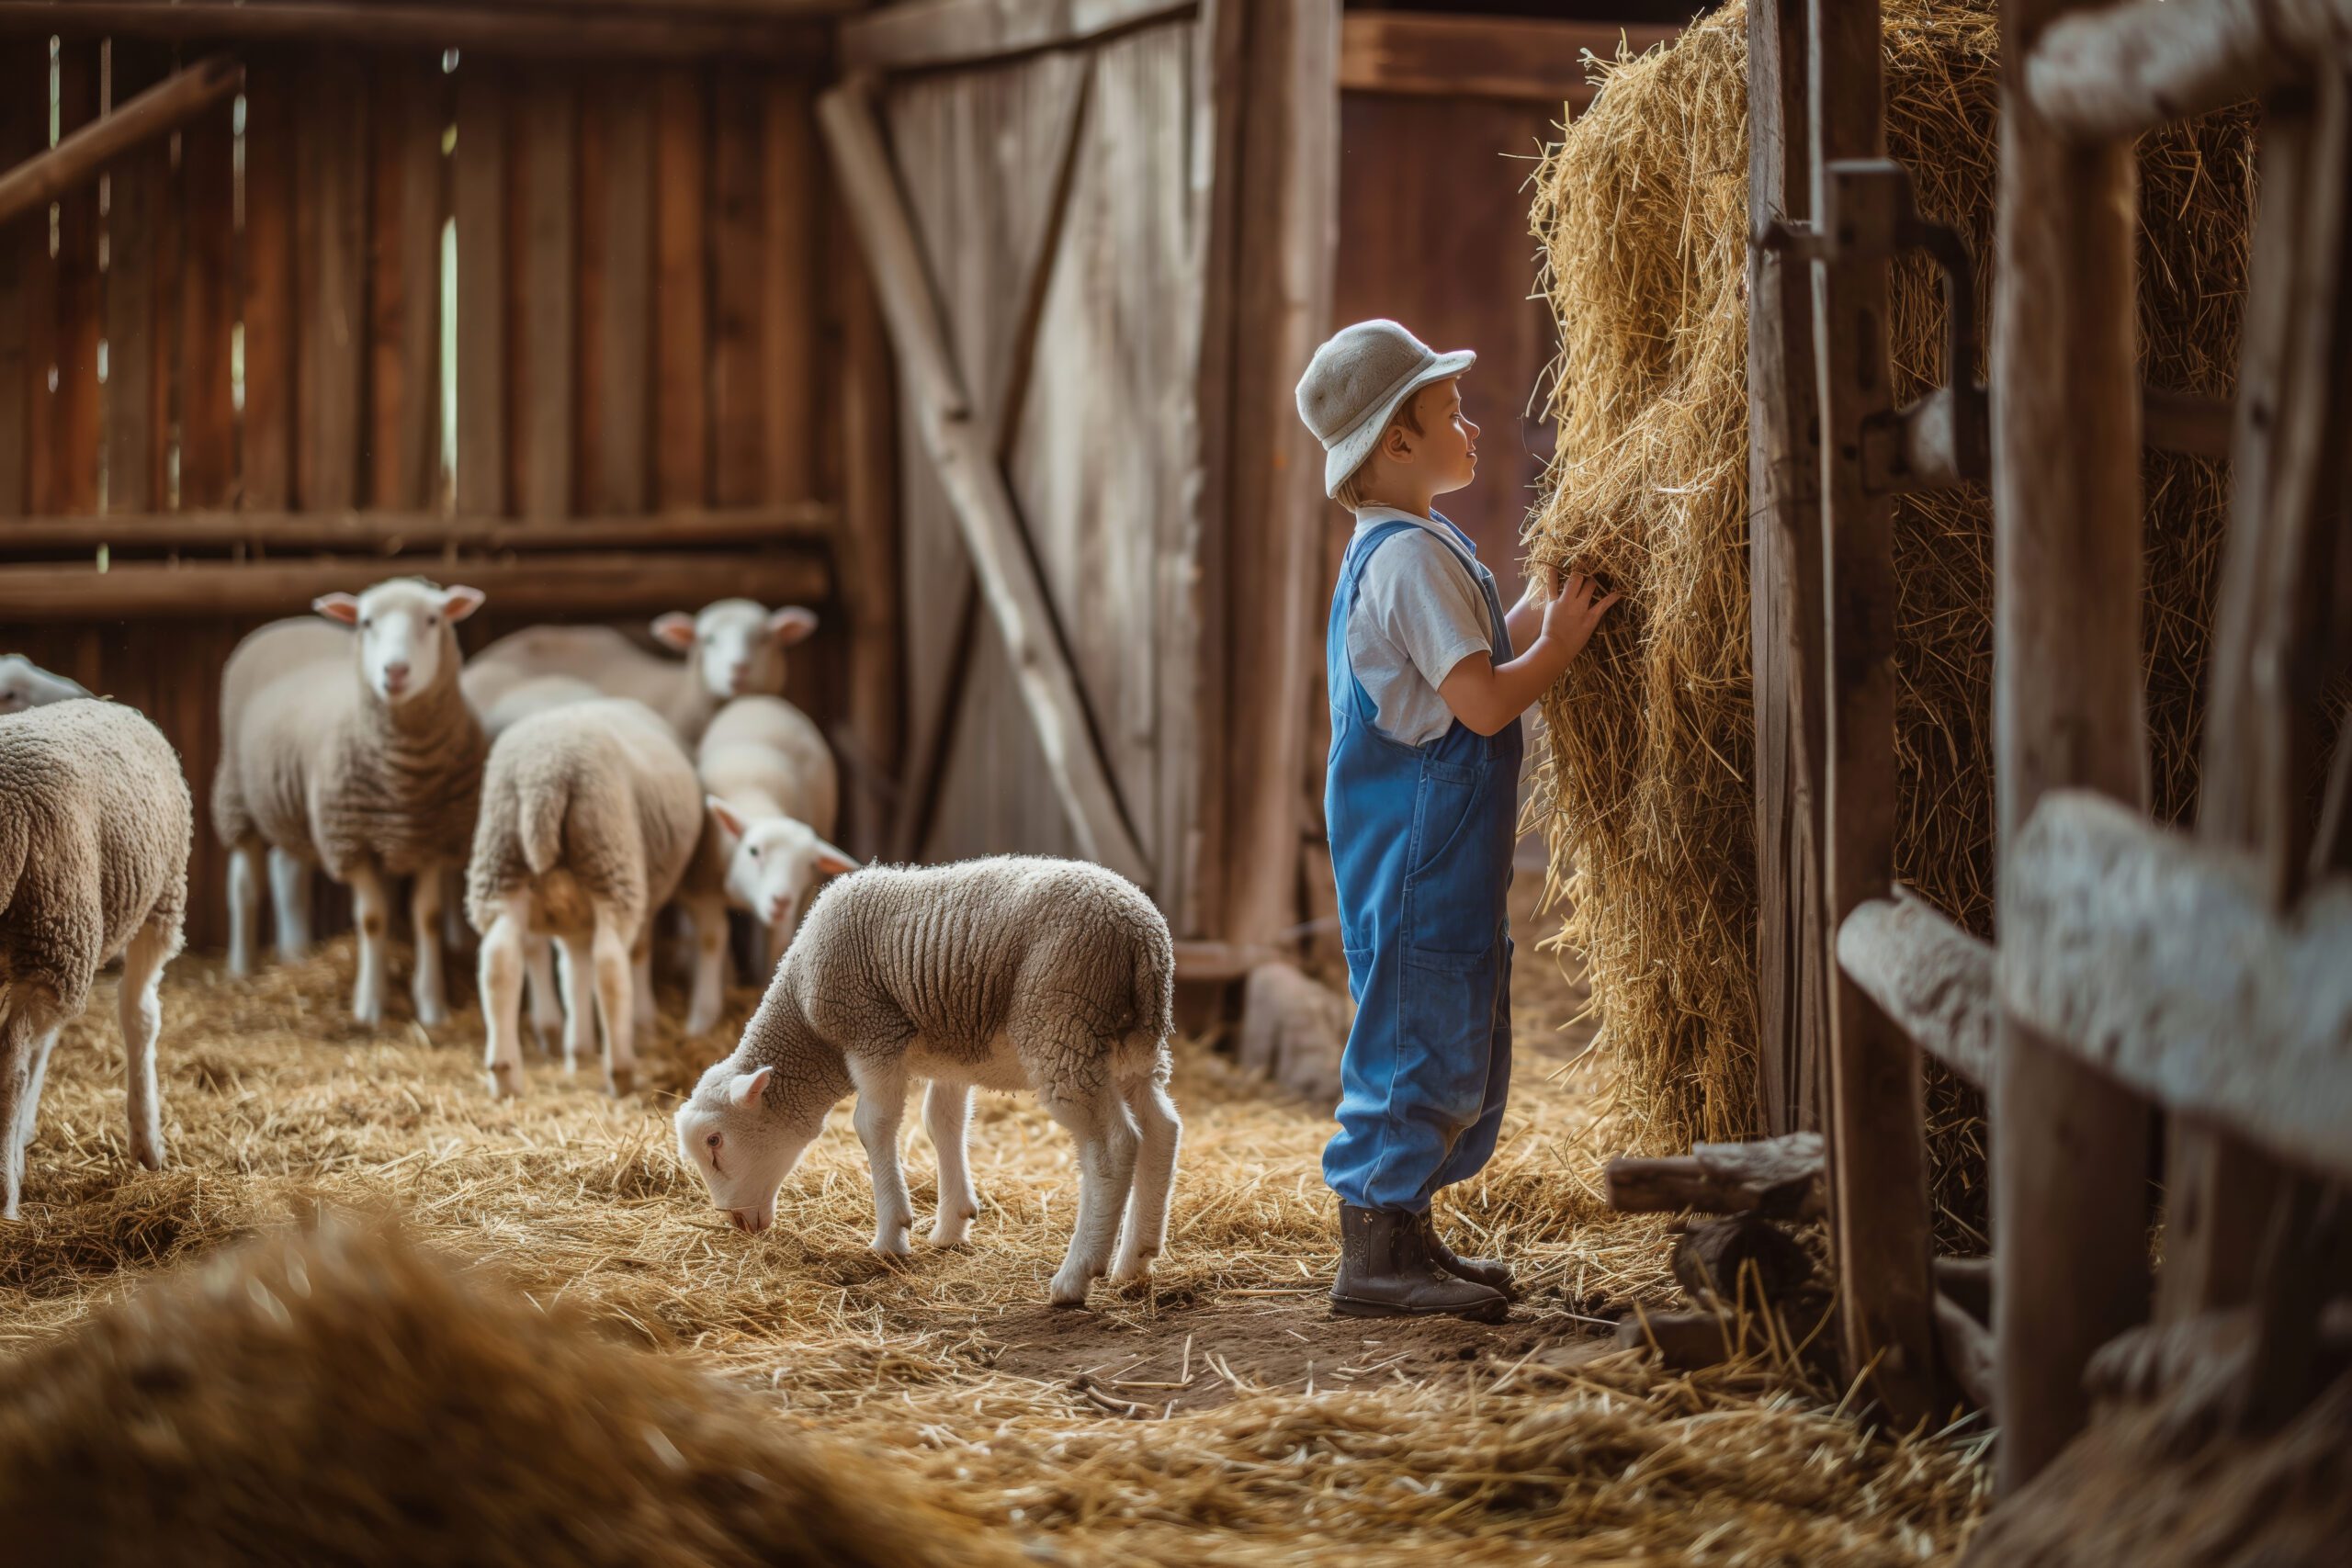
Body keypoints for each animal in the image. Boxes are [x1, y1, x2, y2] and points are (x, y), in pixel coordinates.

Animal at [211, 576, 486, 1029]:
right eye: (366, 623)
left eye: (433, 619)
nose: (395, 671)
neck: (406, 779)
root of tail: (291, 622)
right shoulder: (350, 841)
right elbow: (373, 919)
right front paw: (370, 1006)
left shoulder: (435, 838)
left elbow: (427, 918)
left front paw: (432, 1005)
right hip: (237, 794)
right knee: (245, 882)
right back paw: (240, 966)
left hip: (299, 808)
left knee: (287, 870)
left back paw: (296, 954)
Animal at [460, 700, 710, 1104]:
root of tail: (543, 777)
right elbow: (628, 958)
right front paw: (636, 1028)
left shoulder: (573, 923)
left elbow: (573, 974)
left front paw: (577, 1052)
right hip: (611, 858)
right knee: (610, 967)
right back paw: (622, 1073)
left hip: (499, 866)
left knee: (500, 961)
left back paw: (505, 1075)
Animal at [677, 860, 1185, 1316]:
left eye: (715, 1142)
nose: (738, 1223)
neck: (806, 1018)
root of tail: (1142, 933)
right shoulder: (950, 1053)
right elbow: (942, 1123)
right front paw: (951, 1226)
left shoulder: (872, 1032)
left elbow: (873, 1125)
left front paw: (891, 1236)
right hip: (1131, 1048)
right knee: (1162, 1129)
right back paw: (1135, 1261)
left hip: (1062, 1023)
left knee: (1114, 1146)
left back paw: (1076, 1276)